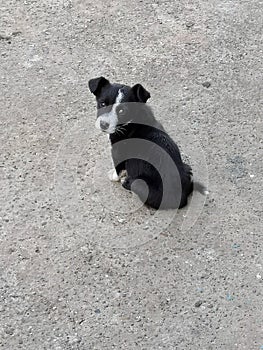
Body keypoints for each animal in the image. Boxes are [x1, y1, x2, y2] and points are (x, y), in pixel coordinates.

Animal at [88, 76, 208, 208]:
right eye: (102, 103)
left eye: (122, 111)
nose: (103, 124)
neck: (134, 117)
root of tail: (183, 196)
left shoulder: (117, 151)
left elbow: (117, 167)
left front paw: (114, 176)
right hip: (187, 169)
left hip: (140, 184)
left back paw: (127, 182)